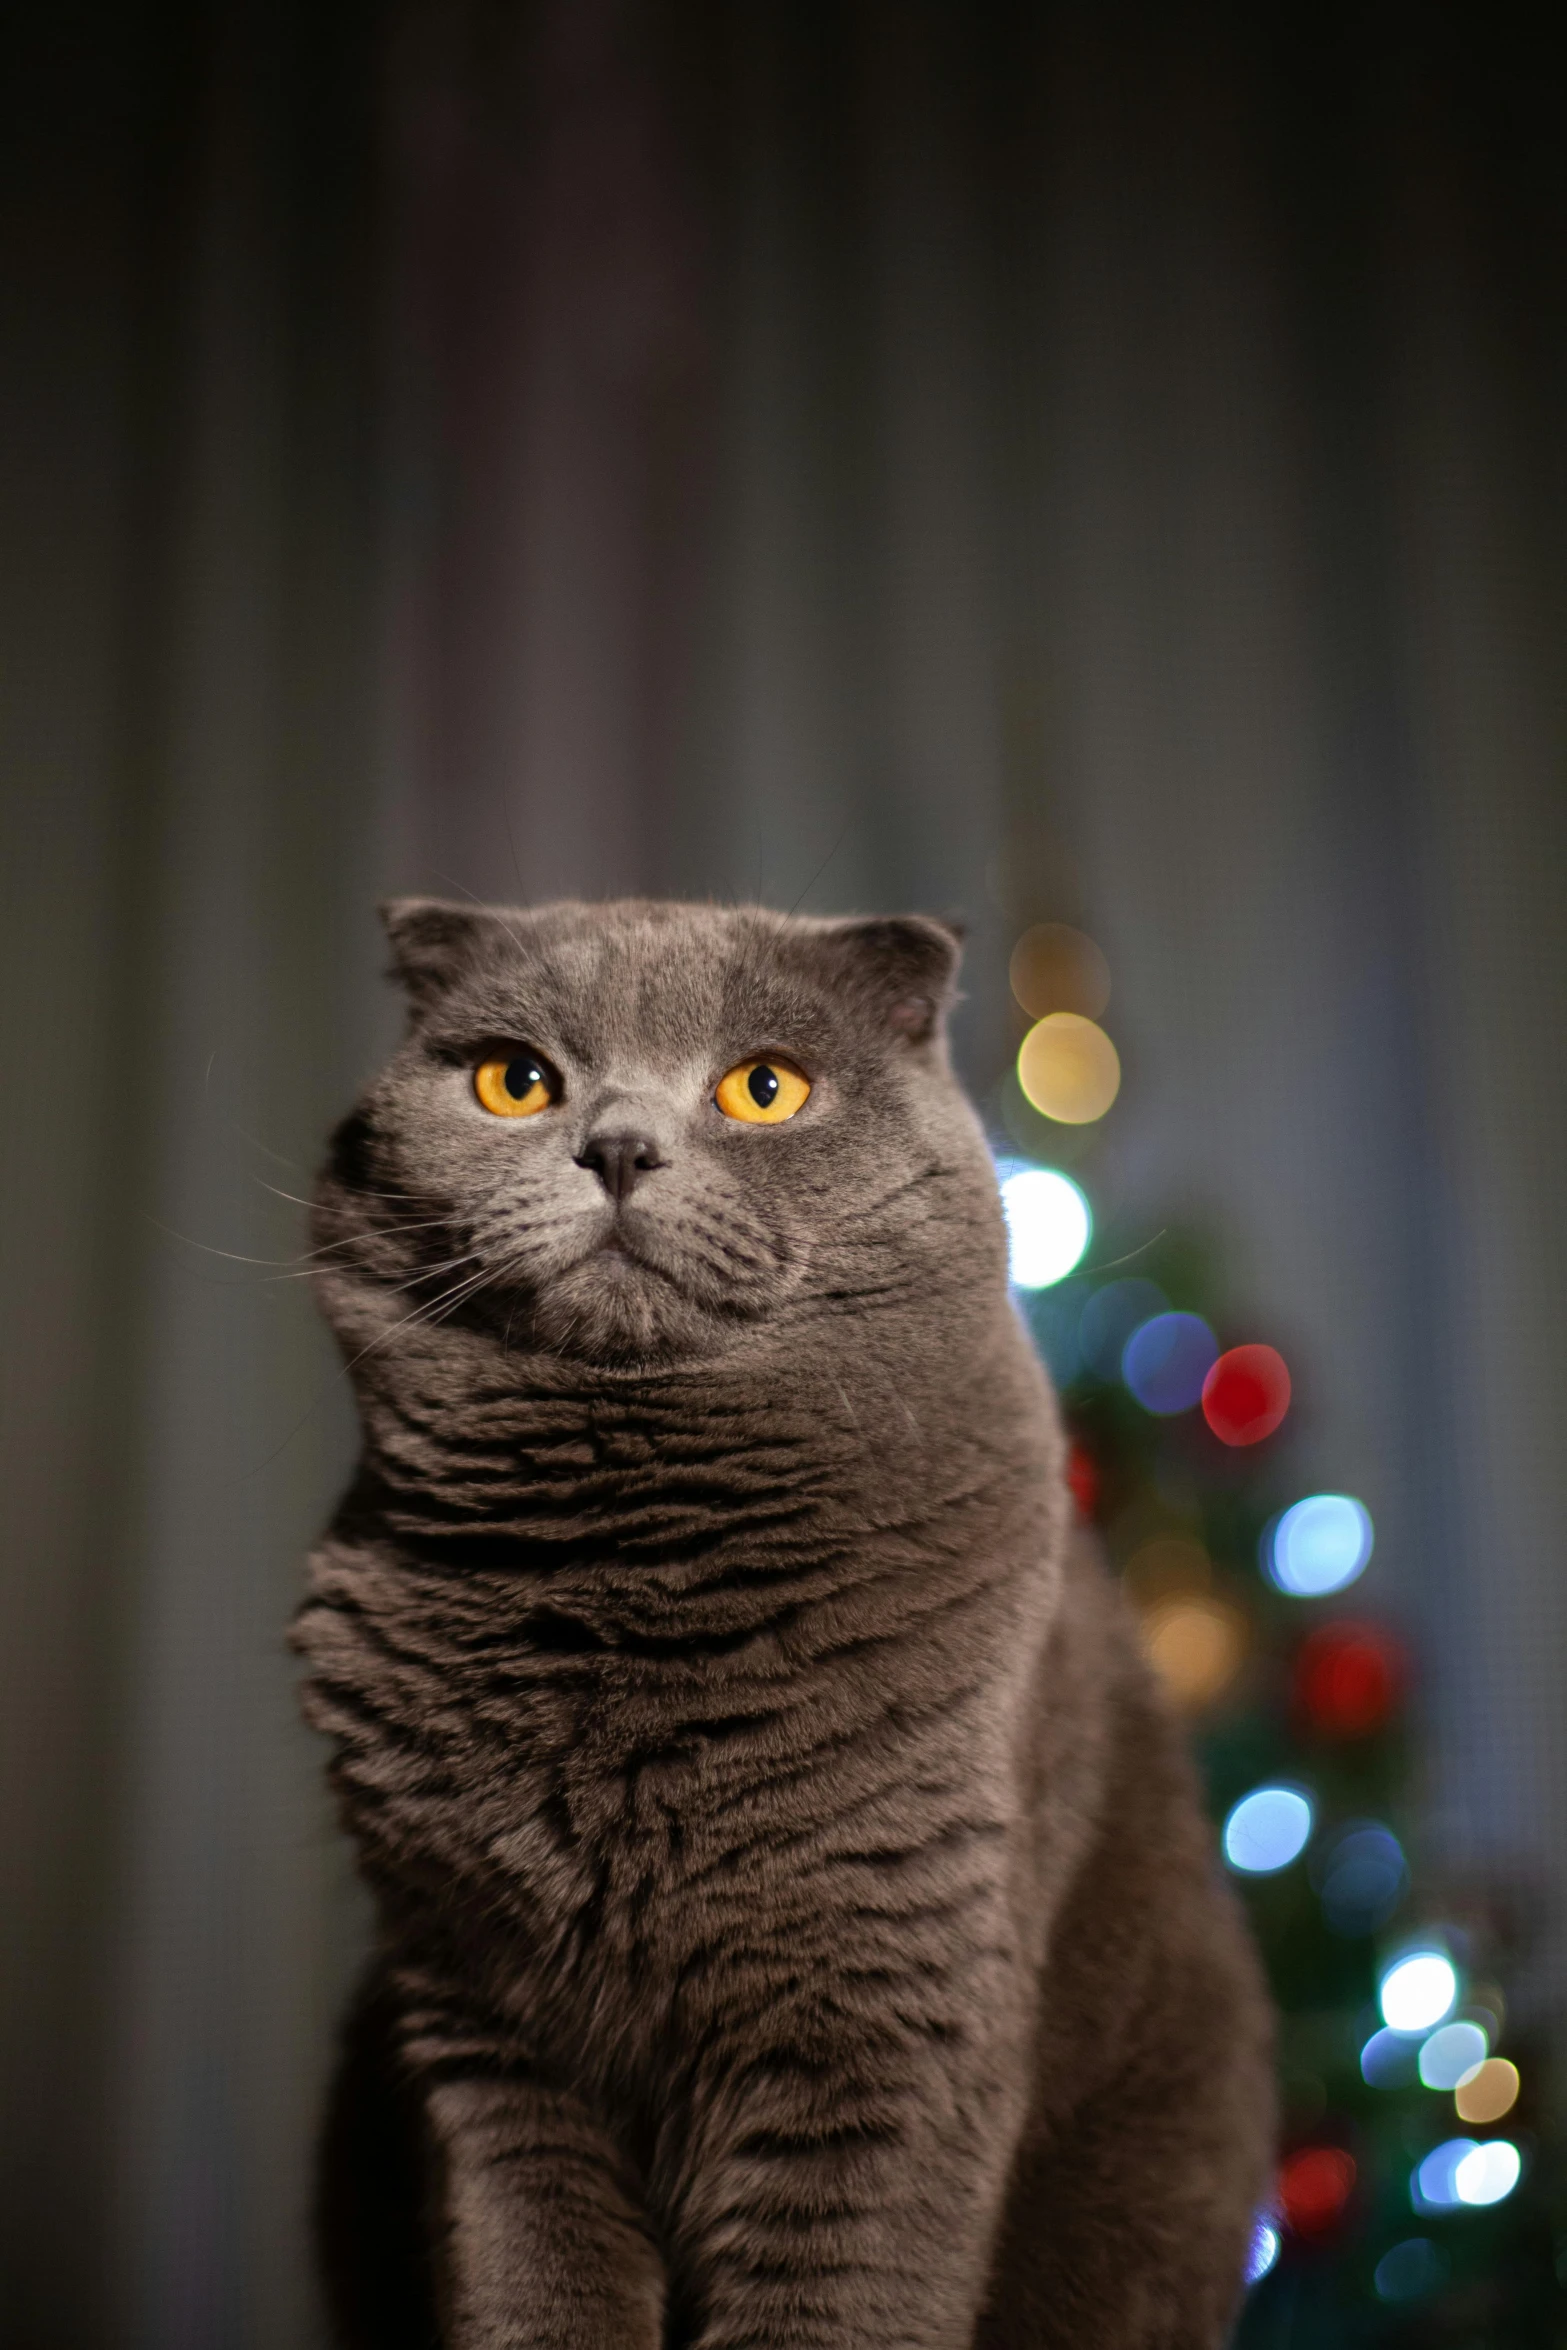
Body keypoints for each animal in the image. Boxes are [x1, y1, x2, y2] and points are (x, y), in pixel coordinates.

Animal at [293, 888, 1278, 2340]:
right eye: (515, 1081)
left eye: (764, 1089)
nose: (617, 1147)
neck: (625, 1578)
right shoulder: (476, 2017)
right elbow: (533, 2272)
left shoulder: (882, 2016)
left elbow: (837, 2293)